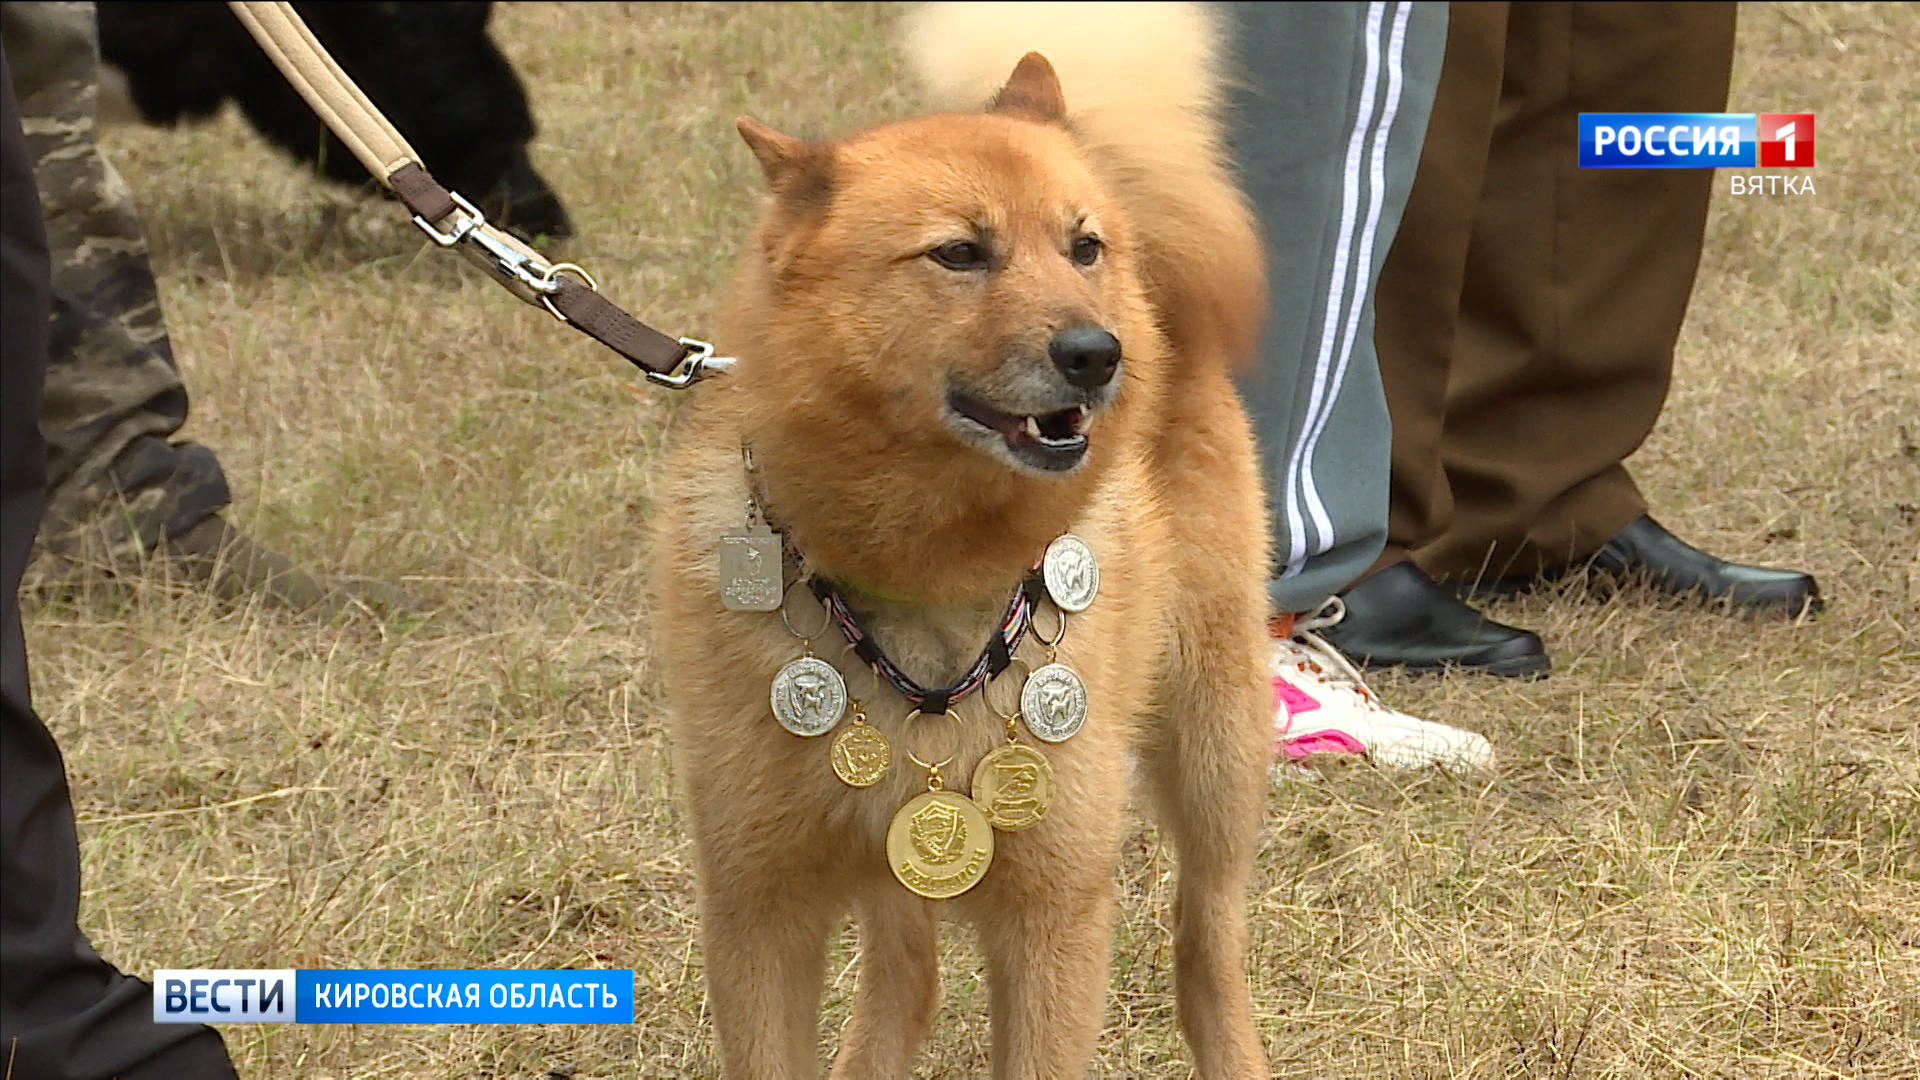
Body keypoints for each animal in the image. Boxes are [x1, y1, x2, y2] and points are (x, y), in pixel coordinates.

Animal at [656, 4, 1274, 1068]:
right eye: (958, 253)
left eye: (1081, 247)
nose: (1097, 354)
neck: (924, 574)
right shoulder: (759, 905)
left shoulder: (1053, 911)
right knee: (909, 977)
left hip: (1213, 751)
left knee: (1208, 946)